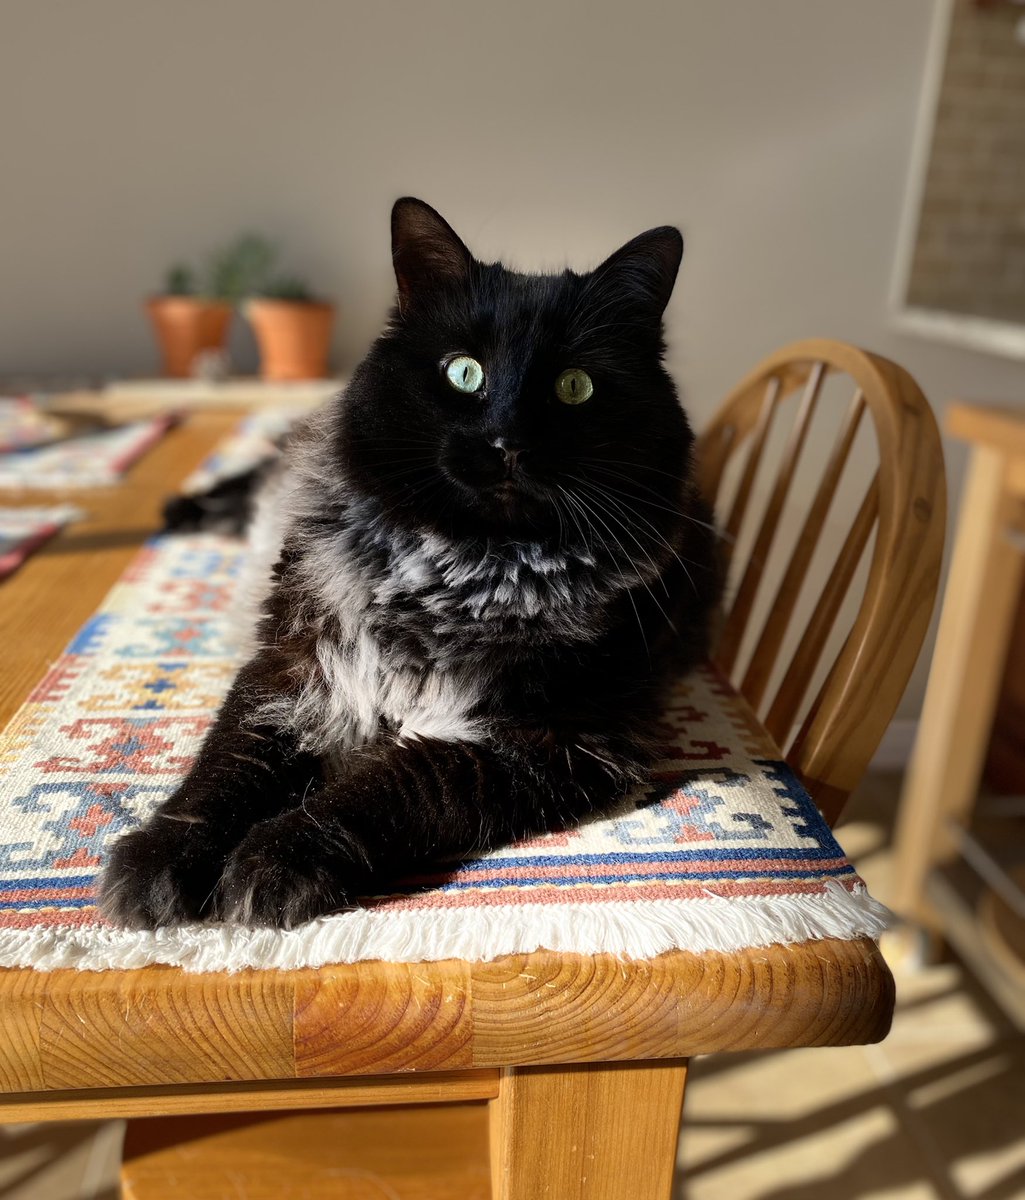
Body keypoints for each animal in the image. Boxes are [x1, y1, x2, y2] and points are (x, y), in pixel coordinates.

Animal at [98, 196, 720, 926]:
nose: (506, 442)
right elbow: (222, 771)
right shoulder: (291, 666)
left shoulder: (557, 742)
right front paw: (157, 861)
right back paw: (182, 510)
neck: (461, 573)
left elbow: (384, 790)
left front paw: (274, 861)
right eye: (463, 372)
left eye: (575, 387)